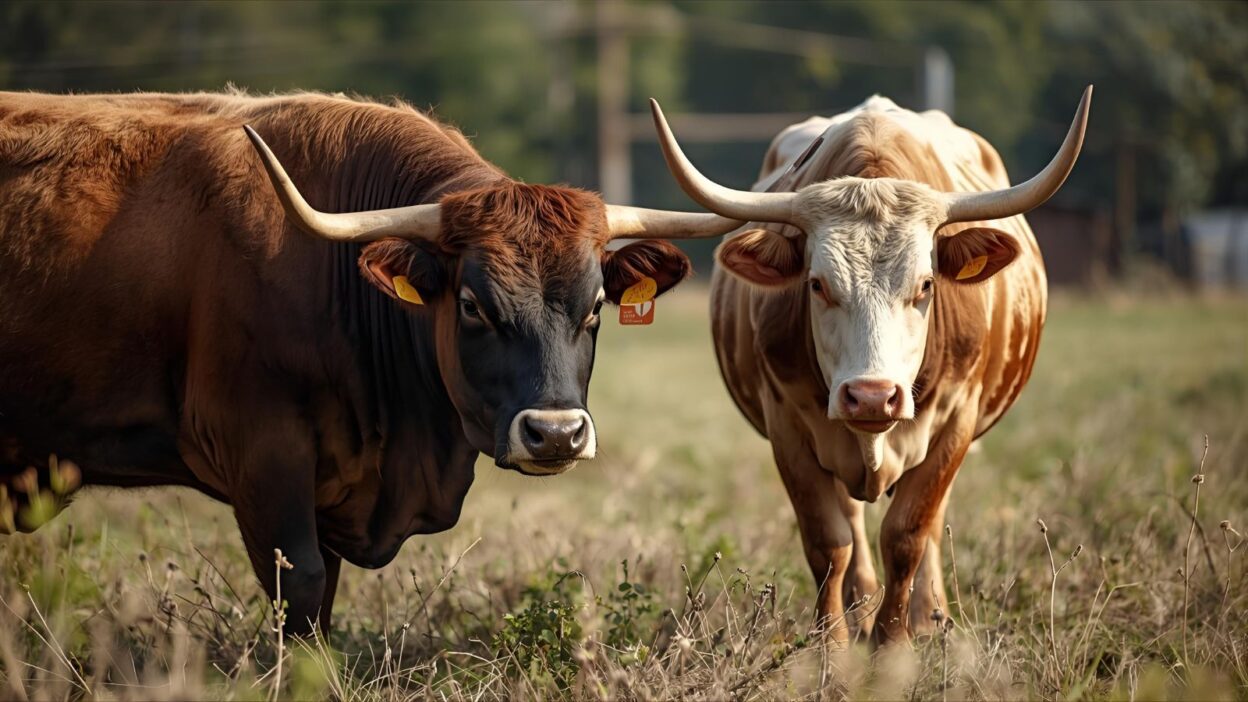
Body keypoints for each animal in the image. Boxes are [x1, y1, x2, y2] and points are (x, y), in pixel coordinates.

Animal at [0, 91, 738, 634]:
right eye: (471, 304)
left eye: (596, 306)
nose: (555, 434)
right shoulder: (261, 452)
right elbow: (301, 585)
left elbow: (324, 596)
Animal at [648, 88, 1091, 644]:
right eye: (817, 284)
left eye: (926, 285)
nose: (873, 396)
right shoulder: (787, 428)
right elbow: (828, 543)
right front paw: (834, 646)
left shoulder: (957, 422)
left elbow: (907, 536)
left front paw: (895, 641)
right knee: (853, 526)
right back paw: (861, 614)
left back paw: (929, 615)